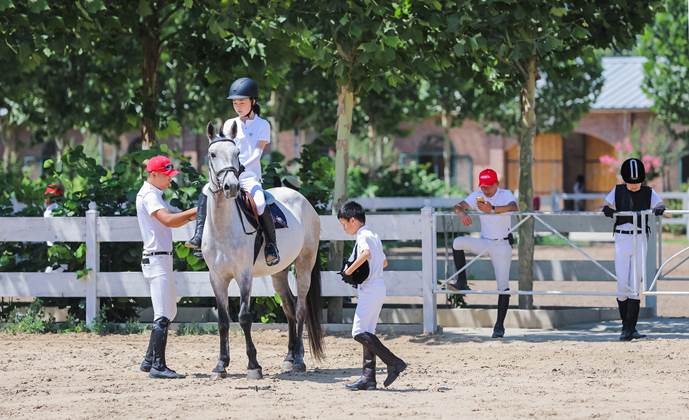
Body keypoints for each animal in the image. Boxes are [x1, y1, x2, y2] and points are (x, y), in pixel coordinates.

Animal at [202, 121, 326, 380]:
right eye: (212, 154)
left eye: (237, 153)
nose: (231, 187)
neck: (223, 228)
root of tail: (303, 200)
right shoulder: (216, 278)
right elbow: (223, 321)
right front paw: (220, 365)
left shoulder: (244, 275)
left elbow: (244, 318)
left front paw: (253, 366)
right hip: (279, 272)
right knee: (289, 308)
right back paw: (288, 357)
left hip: (304, 265)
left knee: (300, 309)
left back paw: (298, 359)